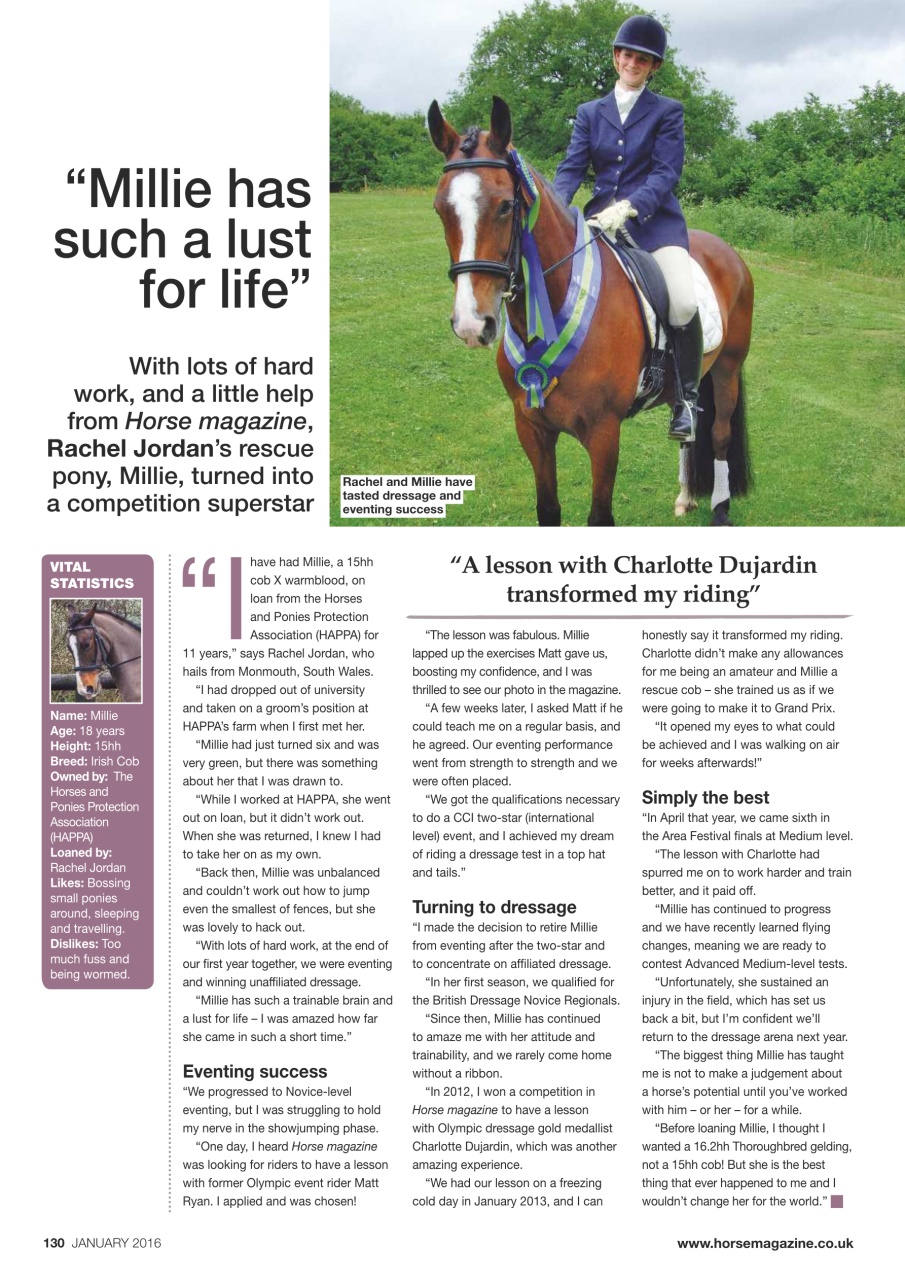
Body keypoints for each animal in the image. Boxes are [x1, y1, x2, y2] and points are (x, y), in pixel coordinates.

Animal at [428, 97, 753, 526]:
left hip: (727, 367)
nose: (471, 323)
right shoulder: (531, 428)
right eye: (439, 209)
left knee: (718, 434)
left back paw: (720, 509)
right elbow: (548, 510)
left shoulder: (603, 434)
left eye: (505, 206)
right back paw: (686, 497)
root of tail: (727, 250)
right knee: (691, 427)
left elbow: (600, 517)